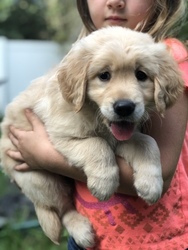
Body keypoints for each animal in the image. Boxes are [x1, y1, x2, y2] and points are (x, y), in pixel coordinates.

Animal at [0, 26, 184, 247]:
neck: (95, 115)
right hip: (40, 178)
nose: (124, 107)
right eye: (104, 75)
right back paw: (81, 230)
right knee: (62, 208)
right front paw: (104, 183)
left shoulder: (123, 136)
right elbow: (96, 144)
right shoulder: (60, 135)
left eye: (141, 75)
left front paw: (151, 184)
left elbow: (148, 142)